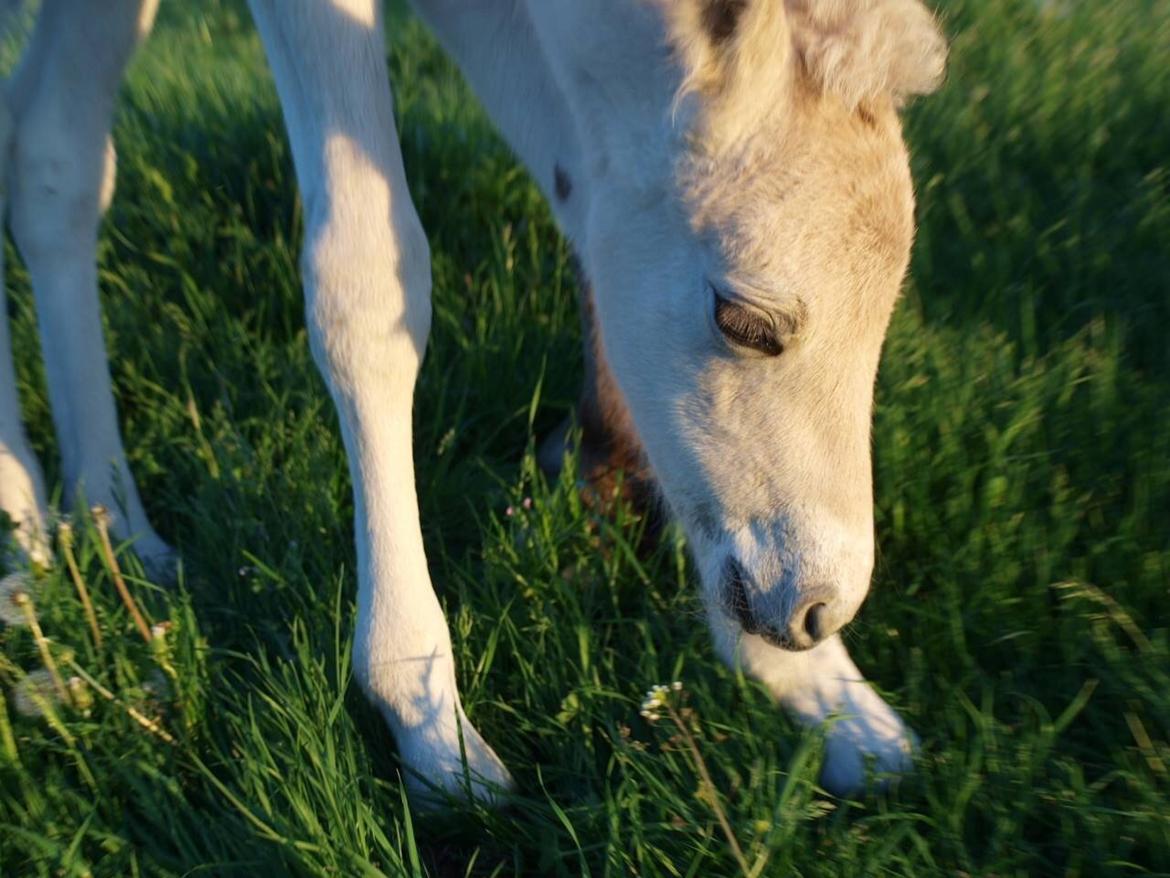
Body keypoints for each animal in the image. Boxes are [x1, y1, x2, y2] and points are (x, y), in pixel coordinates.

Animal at [0, 0, 940, 810]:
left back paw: (112, 521)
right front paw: (426, 718)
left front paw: (830, 699)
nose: (819, 606)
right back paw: (26, 529)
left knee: (51, 162)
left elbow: (584, 186)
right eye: (744, 320)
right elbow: (366, 278)